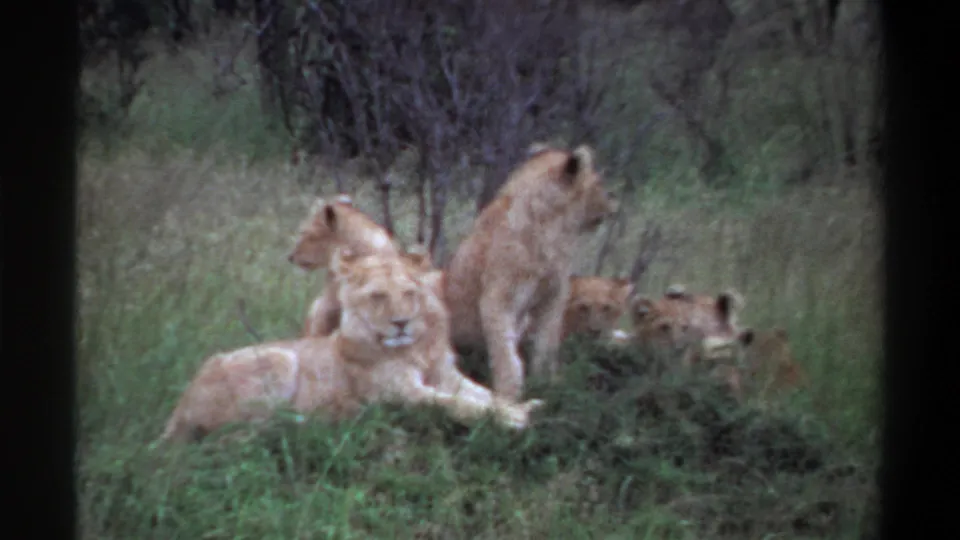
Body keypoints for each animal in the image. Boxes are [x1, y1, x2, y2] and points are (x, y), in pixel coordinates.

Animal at [162, 247, 543, 443]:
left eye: (409, 293)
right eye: (377, 297)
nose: (401, 323)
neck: (416, 348)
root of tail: (178, 408)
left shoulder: (446, 375)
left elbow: (485, 394)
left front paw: (522, 406)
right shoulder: (400, 394)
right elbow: (456, 404)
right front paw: (513, 419)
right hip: (280, 359)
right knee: (243, 431)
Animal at [444, 142, 618, 400]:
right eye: (598, 183)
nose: (612, 205)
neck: (553, 229)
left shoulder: (554, 296)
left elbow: (547, 344)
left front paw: (547, 382)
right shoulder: (498, 299)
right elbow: (506, 353)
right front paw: (509, 393)